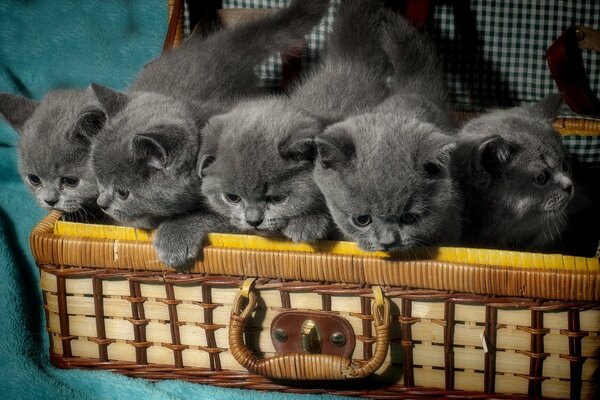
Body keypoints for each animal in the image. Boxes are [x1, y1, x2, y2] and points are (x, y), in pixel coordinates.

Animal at [89, 0, 330, 268]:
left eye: (123, 192)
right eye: (98, 179)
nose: (101, 203)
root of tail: (217, 46)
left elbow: (207, 214)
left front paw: (173, 236)